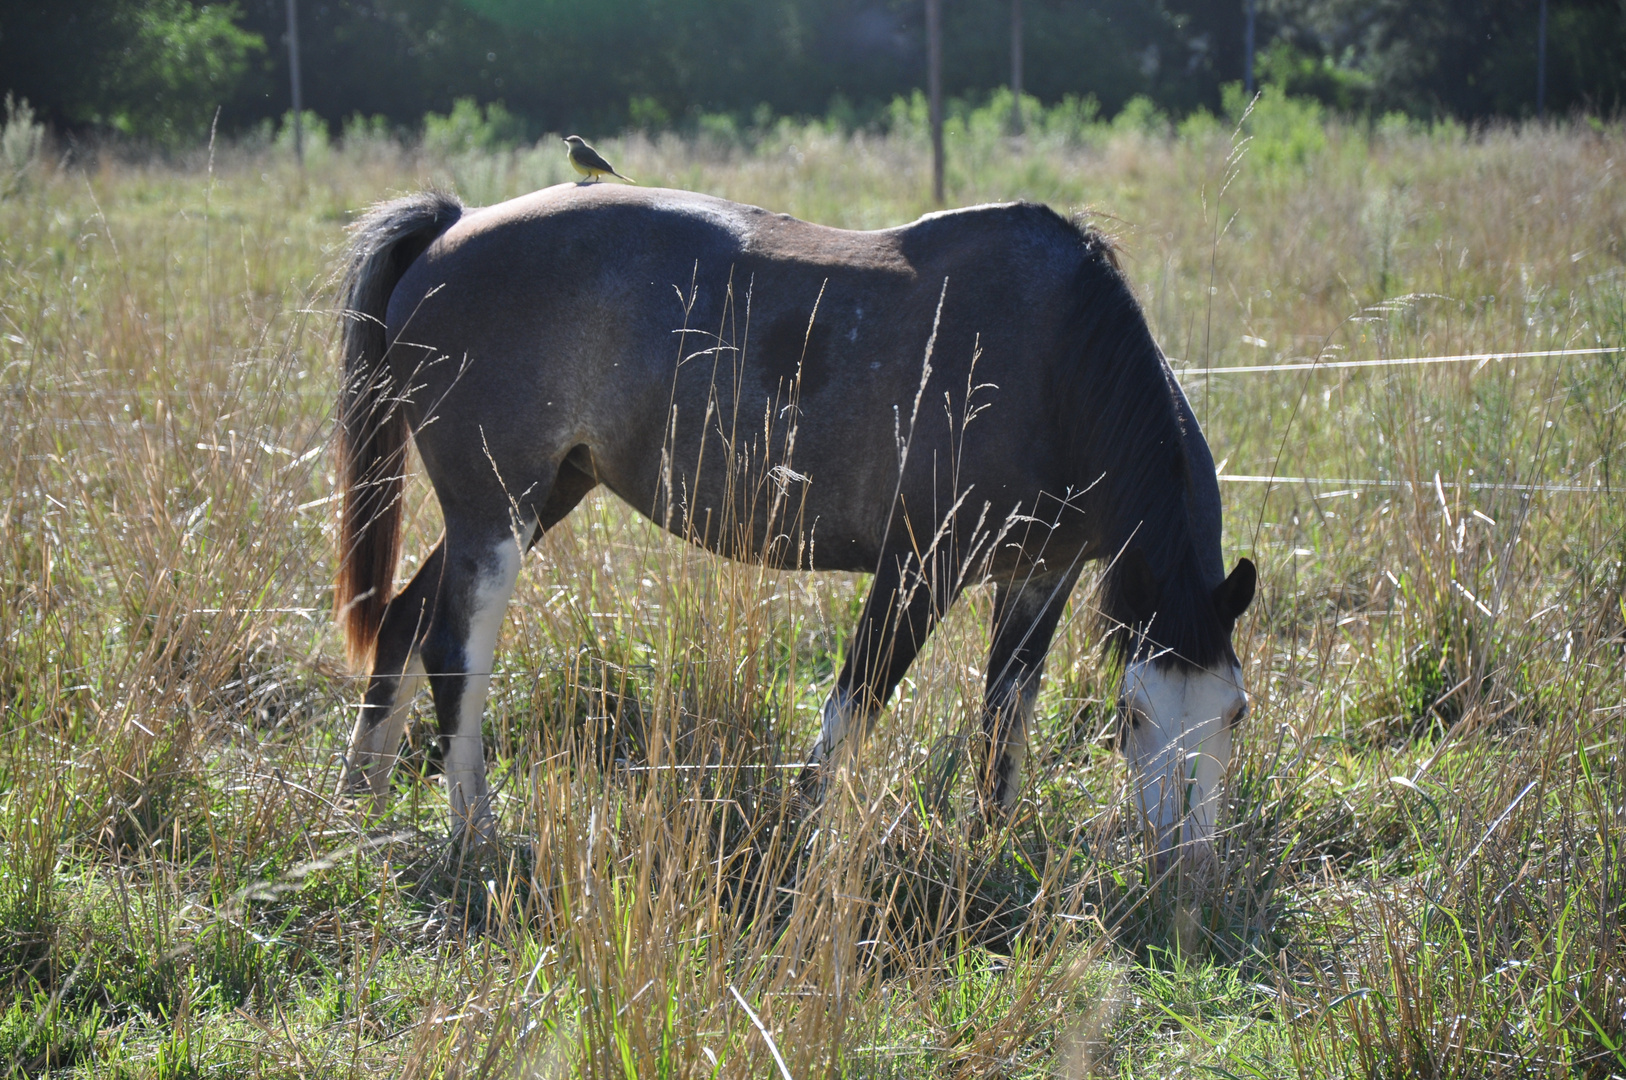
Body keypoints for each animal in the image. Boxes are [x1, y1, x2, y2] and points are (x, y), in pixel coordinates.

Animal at [333, 187, 1255, 858]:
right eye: (1132, 716)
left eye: (1236, 713)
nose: (1183, 865)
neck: (1052, 363)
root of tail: (454, 225)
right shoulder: (920, 568)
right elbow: (853, 707)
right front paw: (797, 836)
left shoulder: (1039, 578)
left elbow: (1004, 719)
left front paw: (990, 846)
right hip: (496, 512)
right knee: (453, 651)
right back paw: (475, 834)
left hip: (541, 497)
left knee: (404, 623)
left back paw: (360, 805)